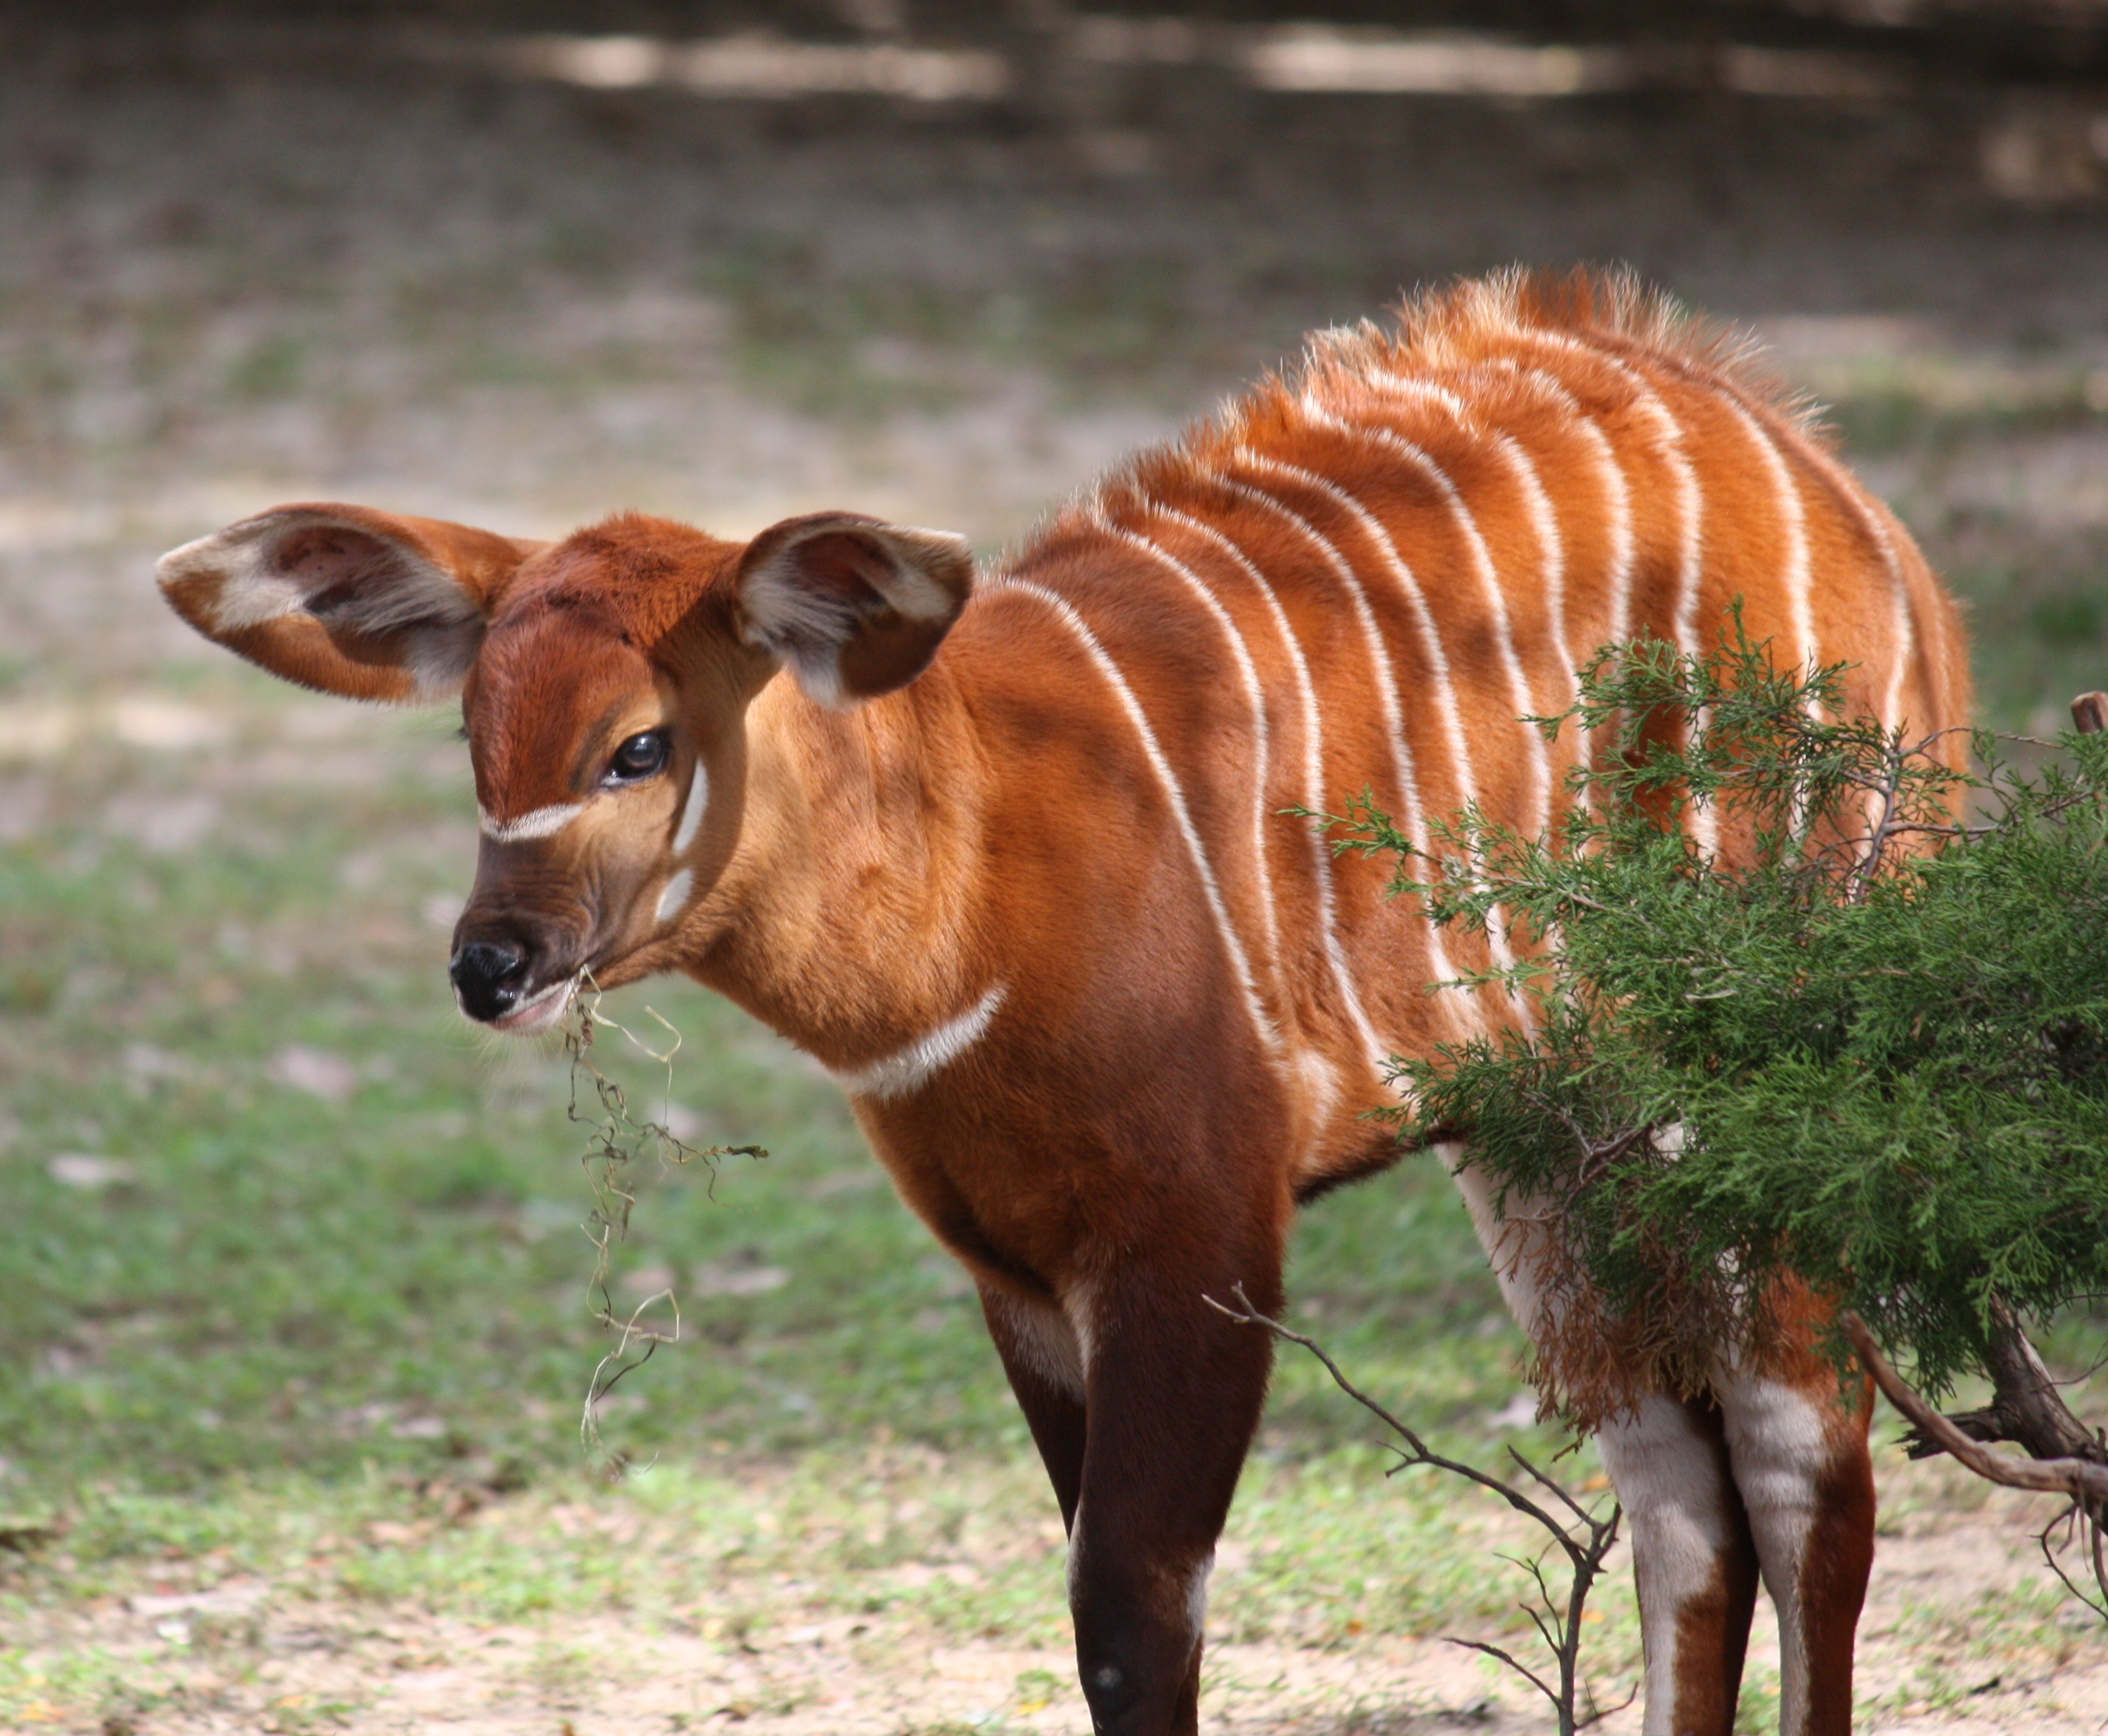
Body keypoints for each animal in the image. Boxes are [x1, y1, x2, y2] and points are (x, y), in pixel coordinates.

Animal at [155, 271, 1964, 1736]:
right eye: (475, 742)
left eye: (639, 745)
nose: (493, 965)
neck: (976, 873)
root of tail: (1836, 481)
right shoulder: (1020, 1278)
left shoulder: (1199, 1246)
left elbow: (1132, 1617)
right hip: (1545, 1126)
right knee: (1678, 1489)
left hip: (1756, 1072)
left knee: (1807, 1460)